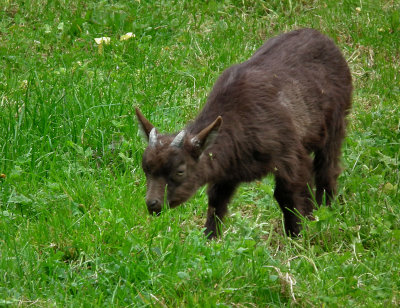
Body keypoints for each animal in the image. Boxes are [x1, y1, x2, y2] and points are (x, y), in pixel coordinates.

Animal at [136, 28, 352, 238]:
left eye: (180, 171)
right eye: (146, 168)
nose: (152, 204)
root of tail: (325, 39)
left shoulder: (290, 155)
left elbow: (288, 195)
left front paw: (298, 235)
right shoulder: (226, 171)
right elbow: (216, 201)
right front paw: (209, 238)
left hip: (337, 120)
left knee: (327, 168)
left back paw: (325, 209)